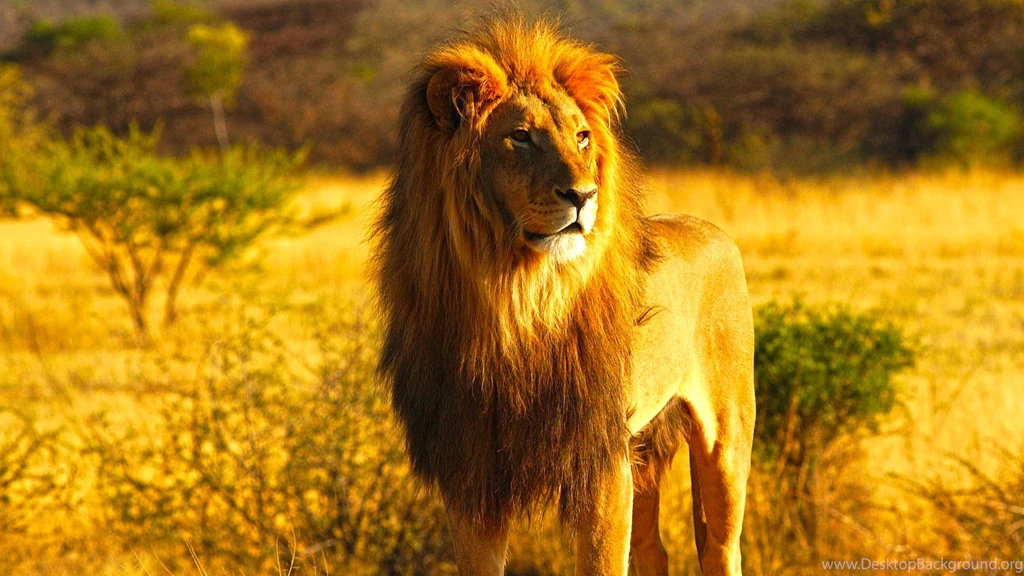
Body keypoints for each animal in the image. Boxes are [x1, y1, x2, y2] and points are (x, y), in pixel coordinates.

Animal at [372, 19, 755, 576]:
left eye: (581, 137)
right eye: (521, 137)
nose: (584, 195)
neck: (515, 299)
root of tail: (713, 229)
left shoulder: (601, 461)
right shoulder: (470, 472)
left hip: (725, 438)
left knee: (721, 546)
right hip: (642, 447)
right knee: (653, 550)